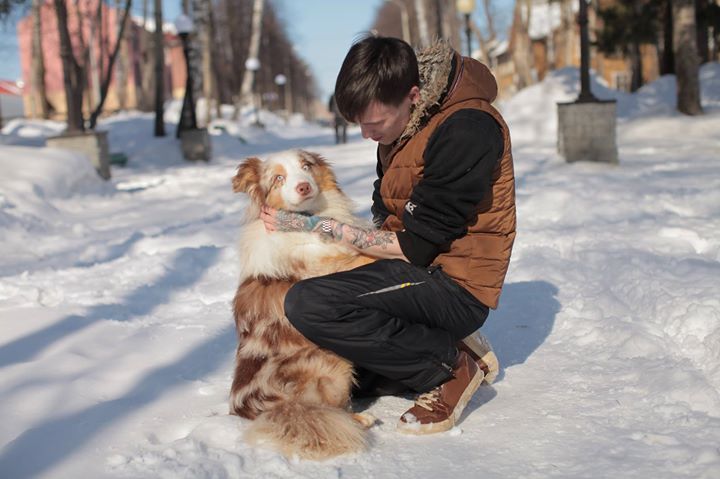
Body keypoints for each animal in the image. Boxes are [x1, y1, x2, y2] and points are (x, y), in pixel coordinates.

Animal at [229, 150, 376, 462]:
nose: (304, 186)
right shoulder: (328, 269)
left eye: (306, 166)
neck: (309, 222)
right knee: (331, 410)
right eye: (278, 178)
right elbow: (368, 258)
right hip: (331, 362)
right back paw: (360, 419)